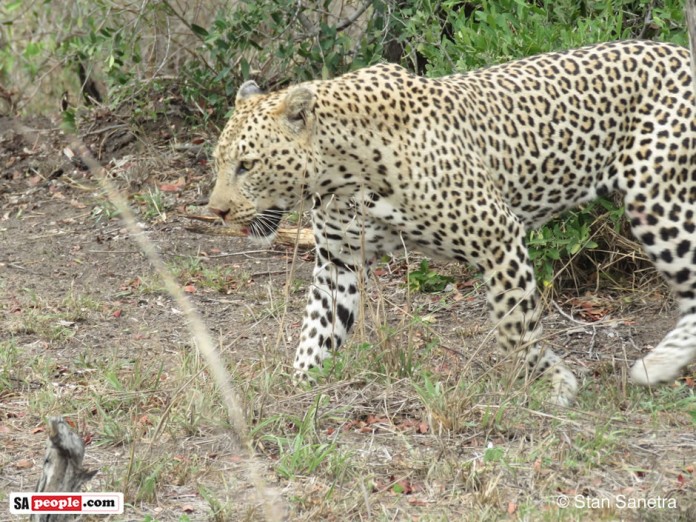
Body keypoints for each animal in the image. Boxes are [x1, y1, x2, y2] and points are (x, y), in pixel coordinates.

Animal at [208, 40, 696, 406]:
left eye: (247, 165)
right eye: (218, 162)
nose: (217, 212)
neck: (341, 174)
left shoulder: (498, 234)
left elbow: (515, 326)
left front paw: (551, 382)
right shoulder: (338, 261)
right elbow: (316, 331)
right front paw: (297, 390)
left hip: (659, 199)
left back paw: (658, 365)